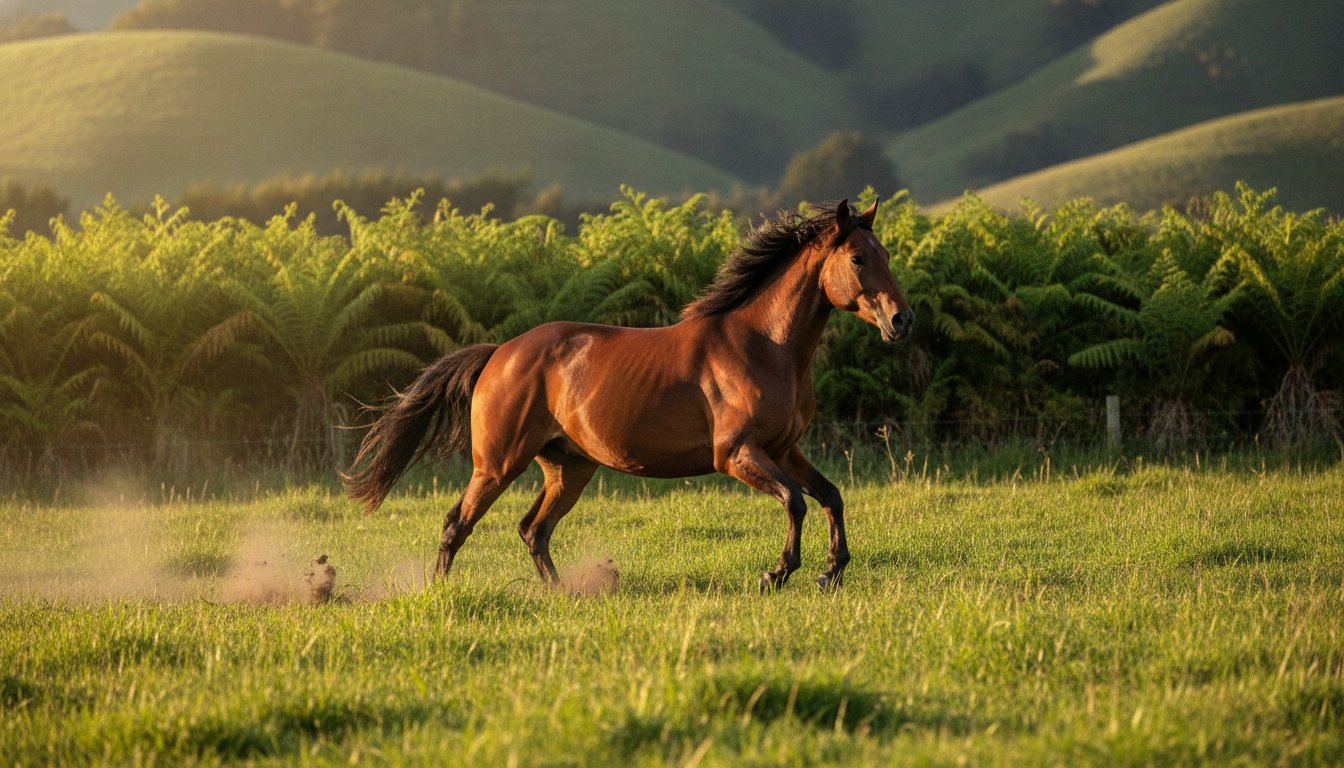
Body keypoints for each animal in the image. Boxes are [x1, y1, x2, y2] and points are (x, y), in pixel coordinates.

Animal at [343, 199, 914, 592]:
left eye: (886, 253)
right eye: (858, 259)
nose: (901, 320)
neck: (763, 344)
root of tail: (500, 352)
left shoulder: (783, 449)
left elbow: (830, 495)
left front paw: (830, 573)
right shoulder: (736, 454)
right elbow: (795, 500)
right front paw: (777, 574)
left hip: (569, 468)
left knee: (533, 530)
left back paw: (563, 594)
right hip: (498, 465)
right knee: (456, 524)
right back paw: (438, 593)